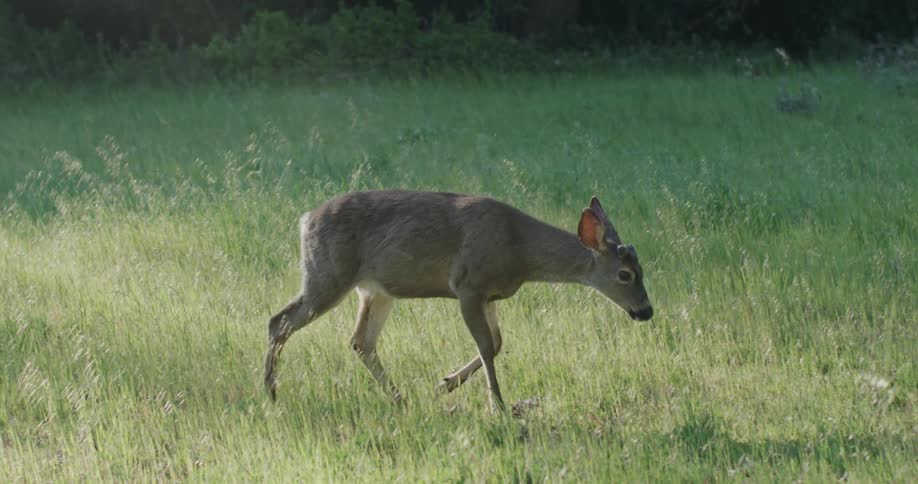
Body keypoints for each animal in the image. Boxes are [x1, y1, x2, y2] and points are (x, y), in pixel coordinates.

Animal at [264, 190, 653, 411]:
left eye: (642, 268)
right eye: (625, 274)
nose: (647, 311)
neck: (521, 251)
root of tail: (304, 220)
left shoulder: (491, 295)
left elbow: (497, 342)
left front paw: (446, 383)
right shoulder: (468, 284)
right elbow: (486, 345)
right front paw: (498, 404)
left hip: (375, 290)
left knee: (360, 341)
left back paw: (400, 399)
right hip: (327, 275)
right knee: (278, 321)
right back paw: (271, 392)